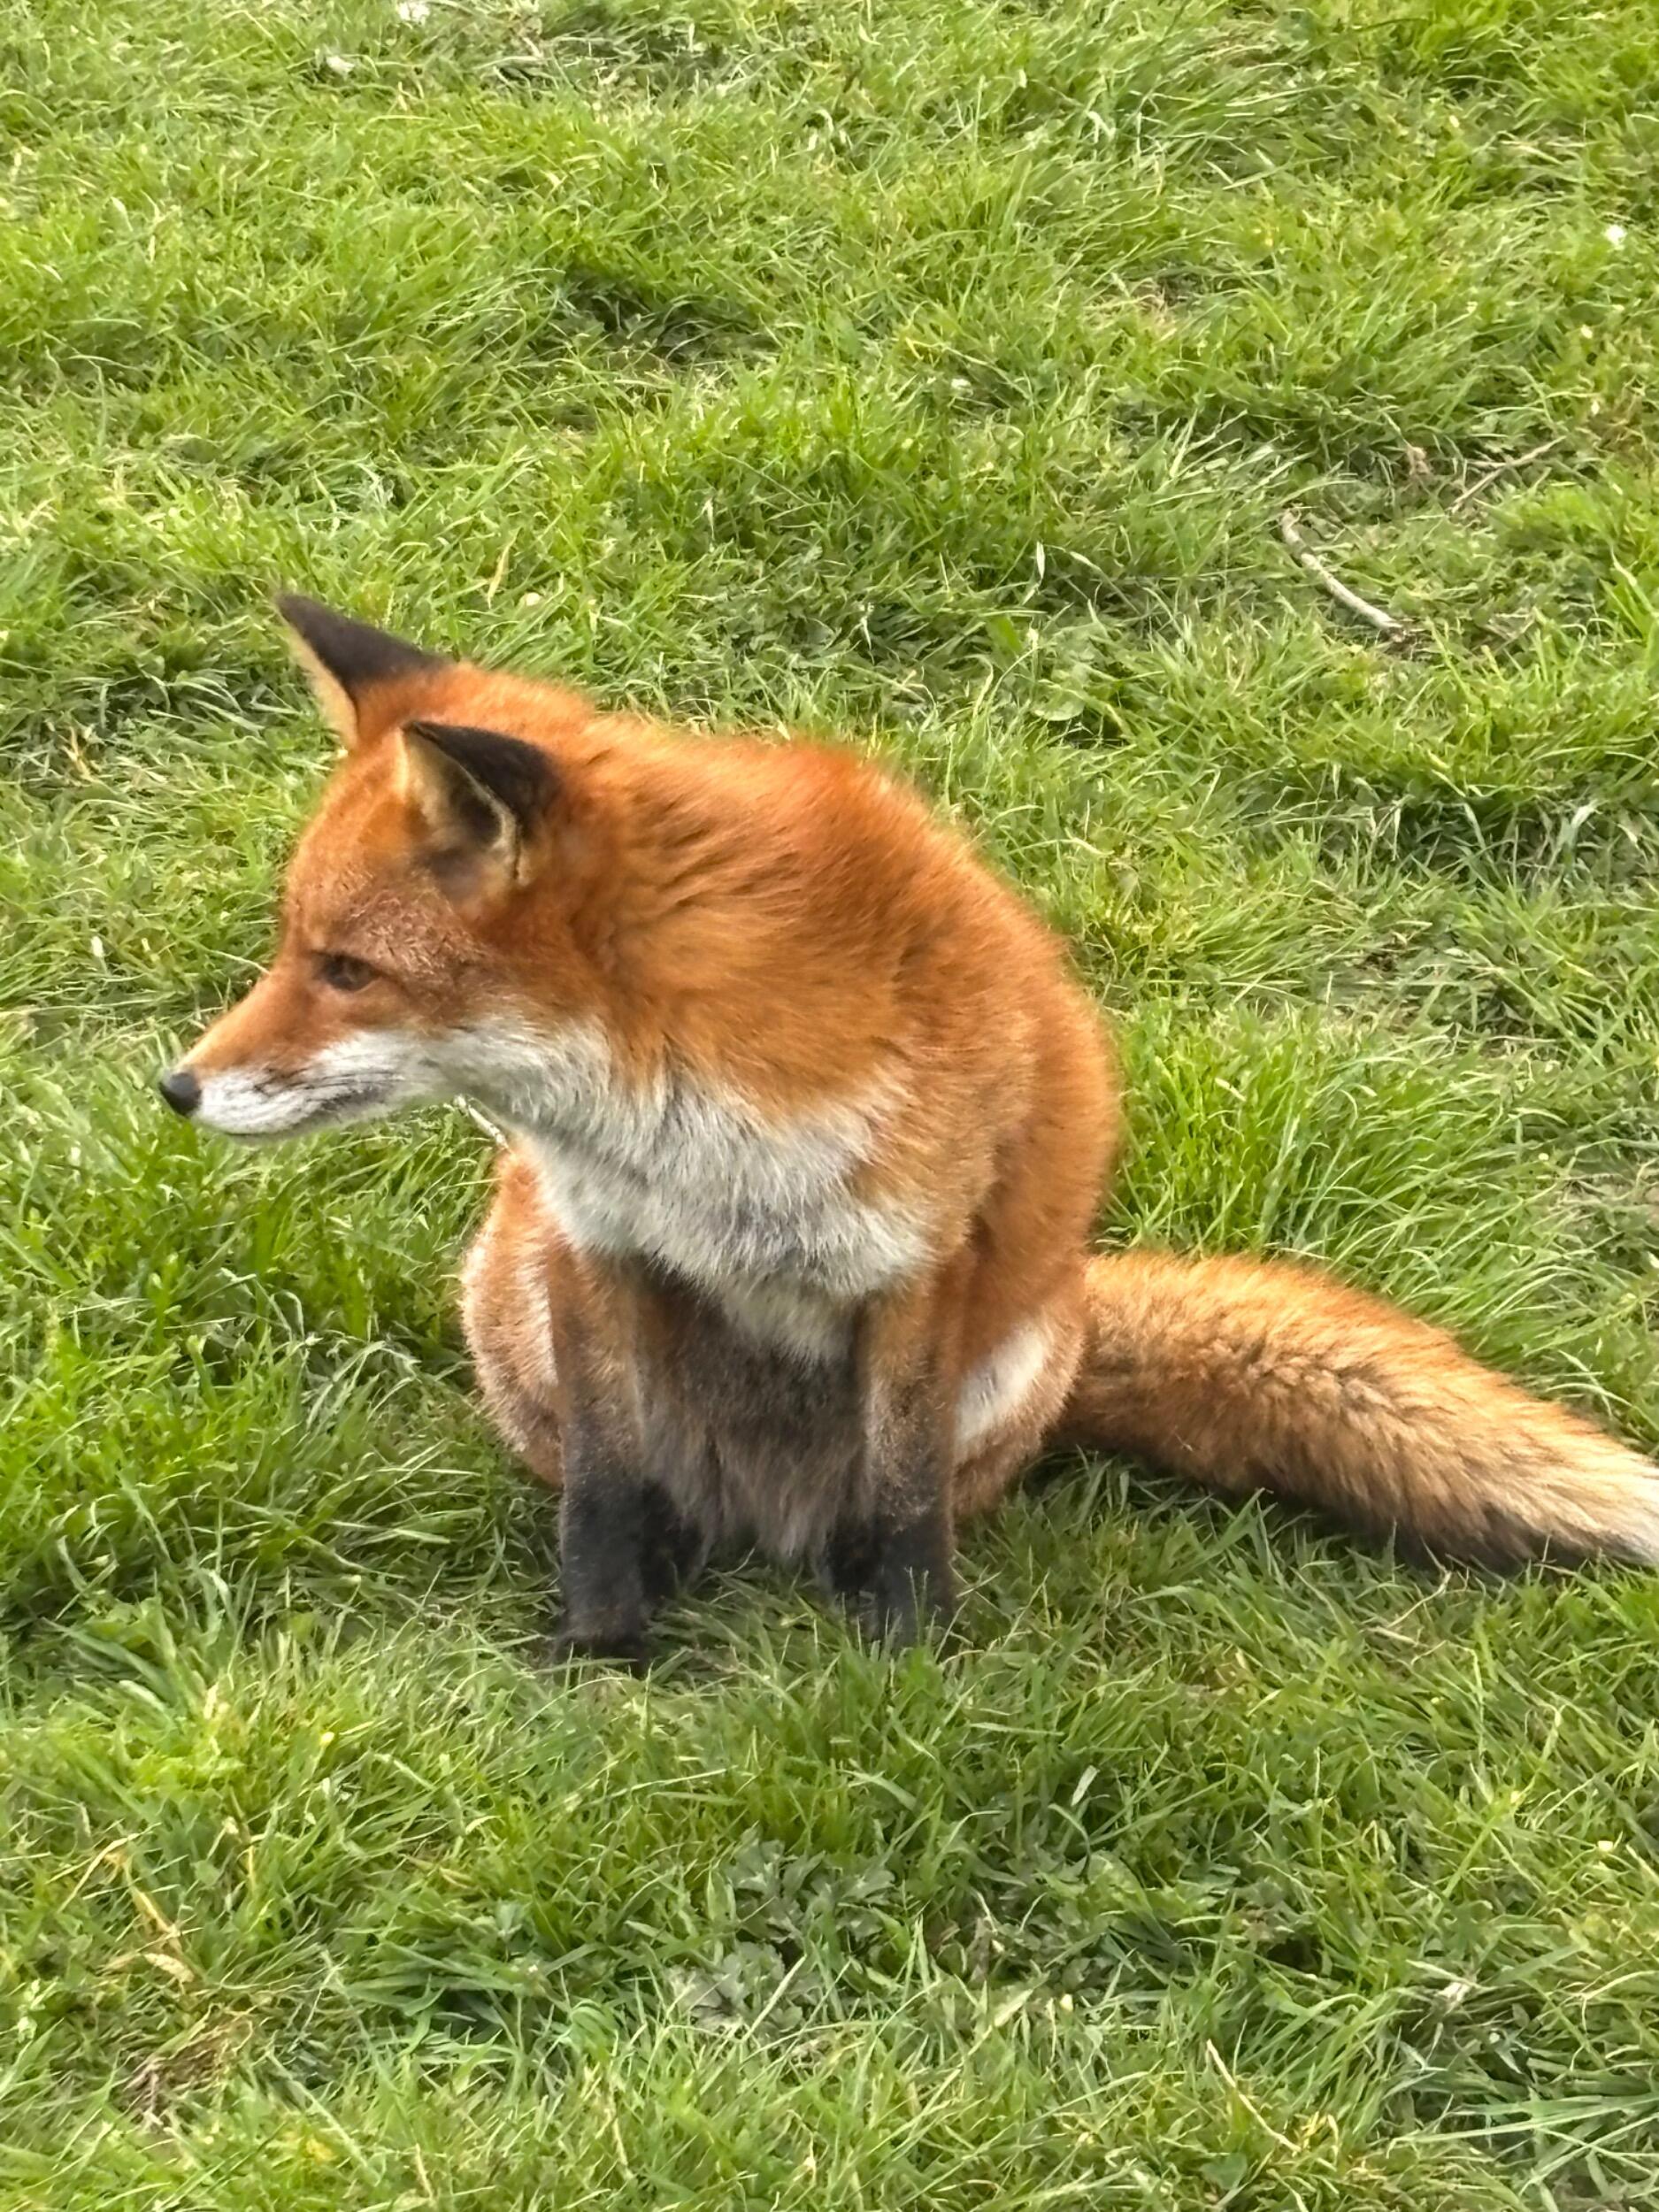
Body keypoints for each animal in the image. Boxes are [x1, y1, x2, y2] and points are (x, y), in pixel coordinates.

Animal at [159, 595, 1659, 1658]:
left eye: (343, 969)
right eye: (291, 950)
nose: (176, 1088)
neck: (677, 1115)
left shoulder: (913, 1261)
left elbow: (897, 1500)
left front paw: (905, 1668)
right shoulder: (594, 1243)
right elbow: (603, 1490)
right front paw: (599, 1653)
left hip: (1008, 1357)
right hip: (514, 1293)